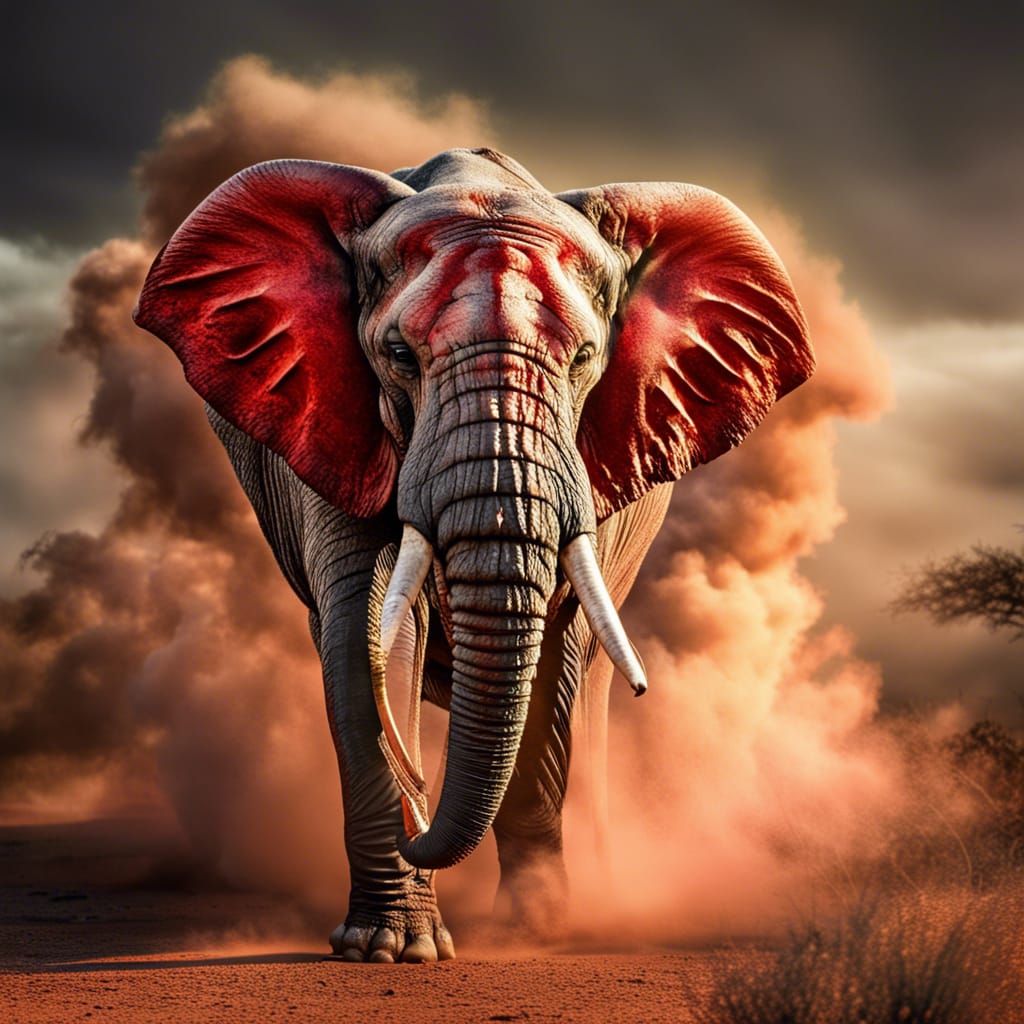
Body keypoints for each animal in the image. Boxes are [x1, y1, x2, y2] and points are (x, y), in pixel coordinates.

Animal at [134, 147, 813, 962]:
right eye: (398, 355)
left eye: (585, 357)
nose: (420, 813)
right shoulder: (331, 424)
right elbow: (362, 633)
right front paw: (388, 947)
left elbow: (552, 653)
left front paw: (538, 930)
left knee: (589, 689)